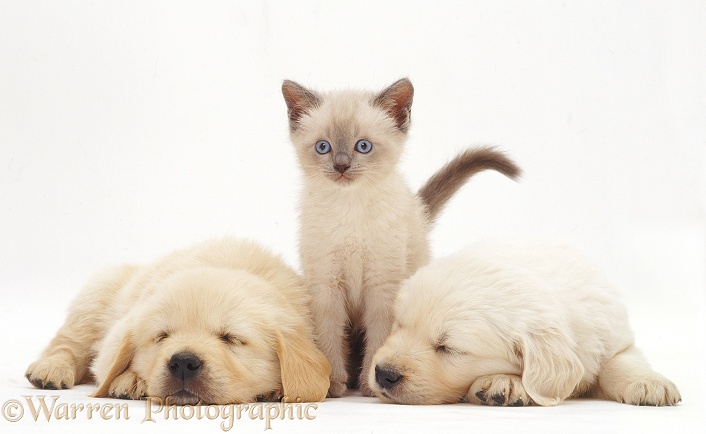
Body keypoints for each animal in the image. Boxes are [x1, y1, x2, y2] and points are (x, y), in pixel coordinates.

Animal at [24, 237, 328, 404]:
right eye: (162, 336)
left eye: (230, 338)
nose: (183, 363)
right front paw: (131, 378)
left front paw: (276, 389)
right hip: (97, 293)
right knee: (69, 342)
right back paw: (52, 370)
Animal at [280, 78, 516, 396]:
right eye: (323, 147)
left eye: (363, 146)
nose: (341, 166)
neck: (350, 208)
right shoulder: (325, 286)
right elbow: (328, 337)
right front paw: (332, 384)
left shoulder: (383, 286)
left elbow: (380, 336)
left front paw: (370, 385)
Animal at [372, 242, 680, 406]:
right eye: (399, 325)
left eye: (448, 348)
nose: (383, 374)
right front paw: (505, 383)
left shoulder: (613, 332)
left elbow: (621, 361)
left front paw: (649, 384)